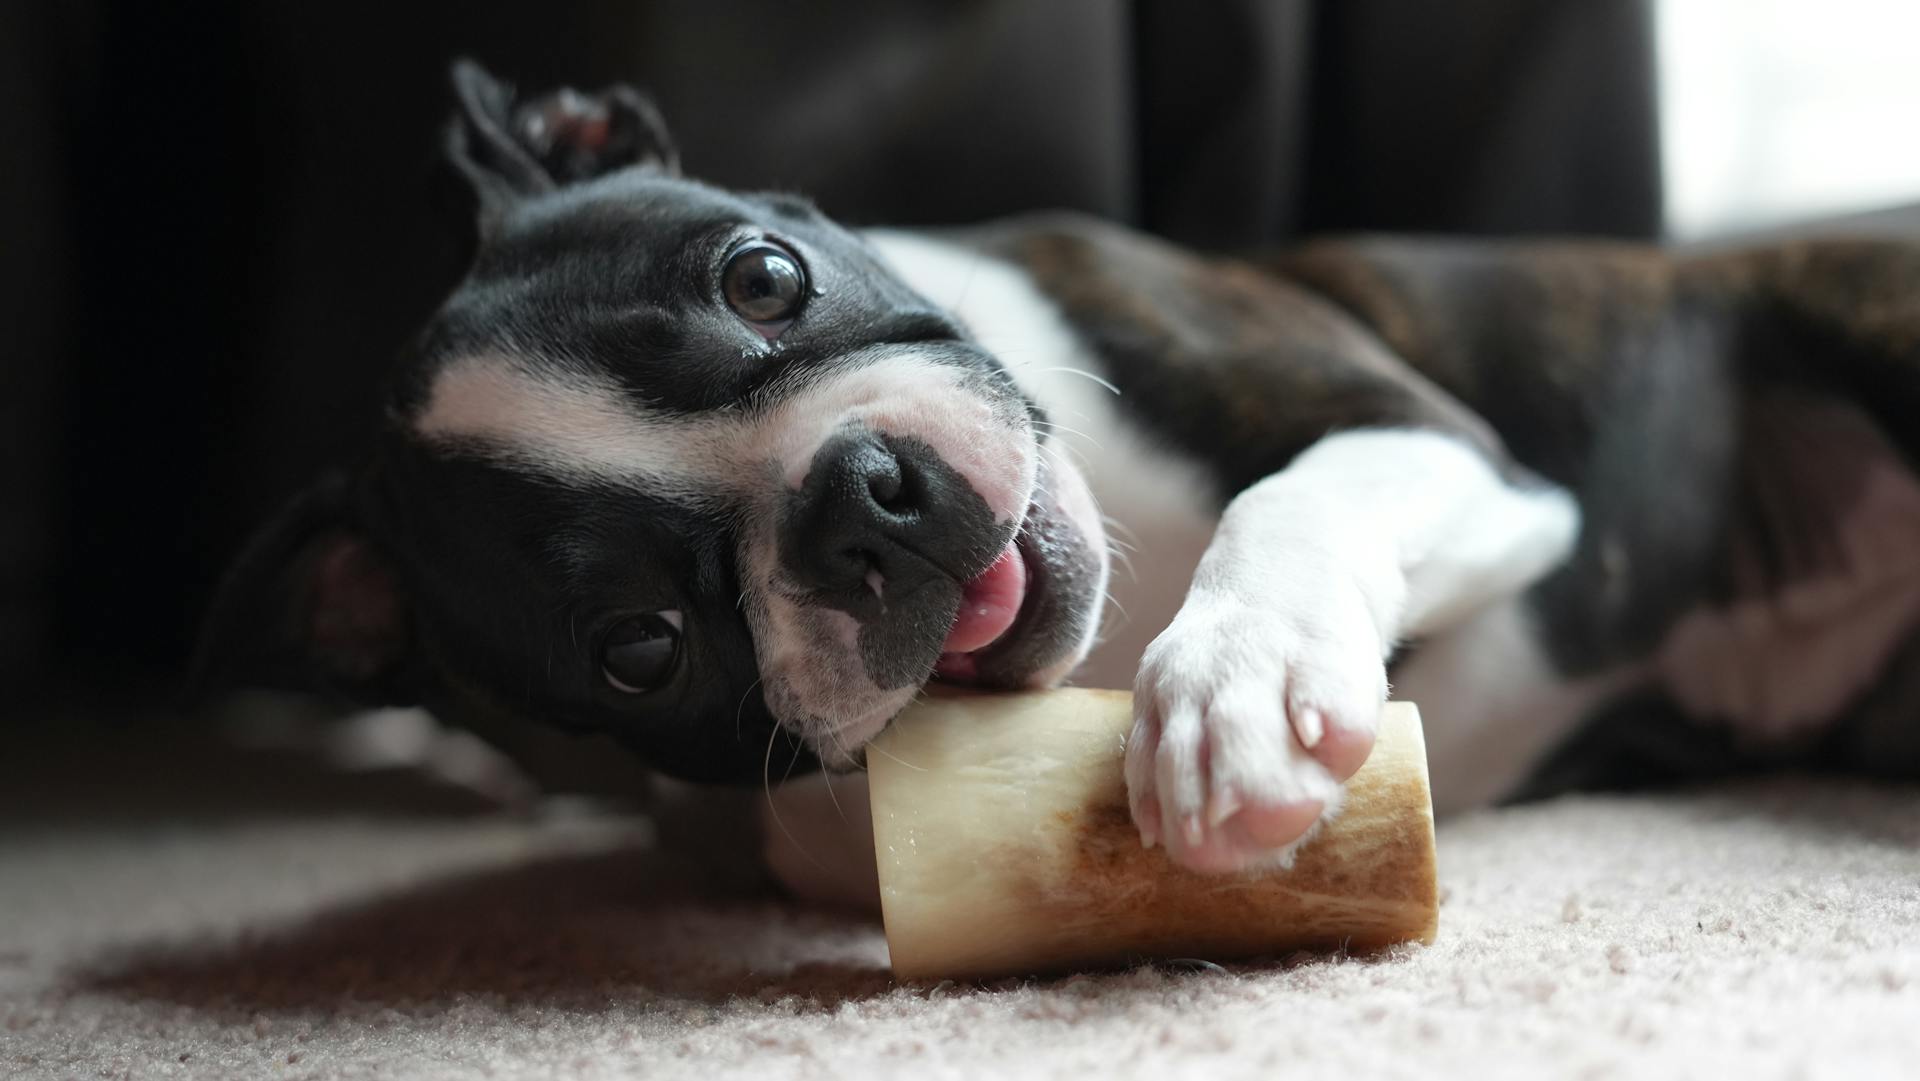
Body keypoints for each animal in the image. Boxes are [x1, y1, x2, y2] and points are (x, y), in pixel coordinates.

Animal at [202, 61, 1920, 898]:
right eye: (638, 648)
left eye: (762, 278)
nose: (855, 503)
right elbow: (799, 818)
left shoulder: (1444, 445)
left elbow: (1288, 499)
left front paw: (1236, 692)